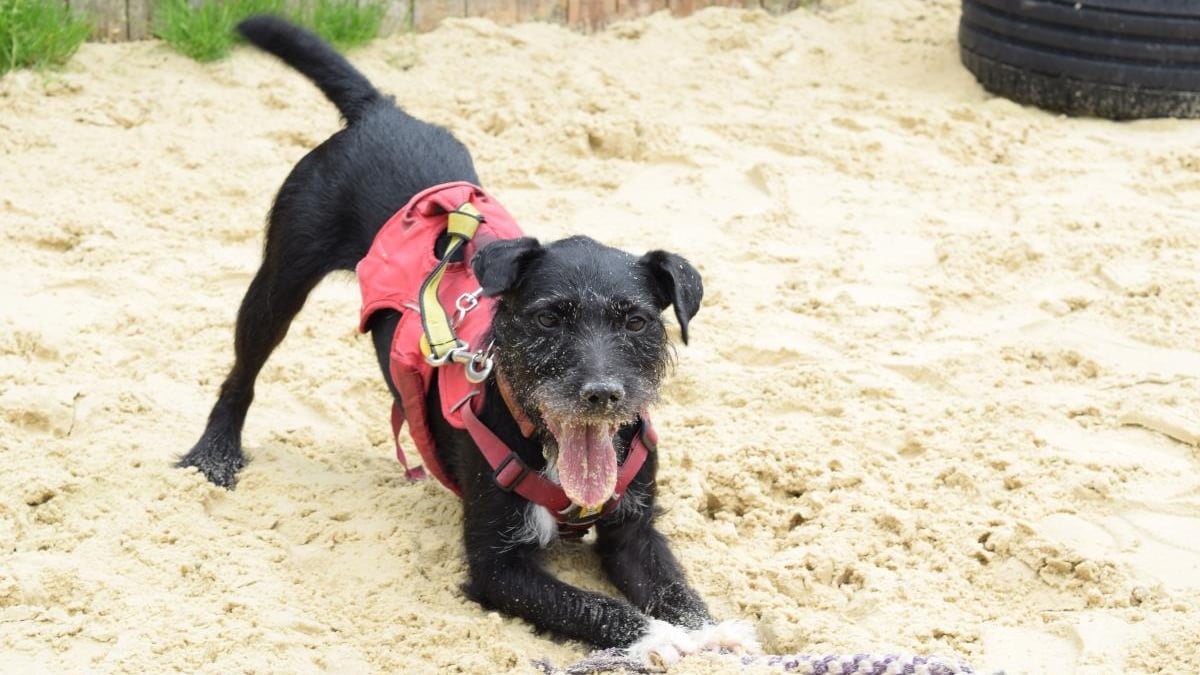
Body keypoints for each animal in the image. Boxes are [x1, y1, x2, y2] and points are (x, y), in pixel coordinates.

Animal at [177, 15, 753, 662]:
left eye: (635, 321)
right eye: (548, 319)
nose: (603, 394)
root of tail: (380, 112)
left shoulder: (634, 529)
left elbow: (674, 587)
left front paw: (710, 630)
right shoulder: (497, 565)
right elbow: (596, 607)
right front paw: (662, 641)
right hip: (280, 276)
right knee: (242, 371)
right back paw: (215, 453)